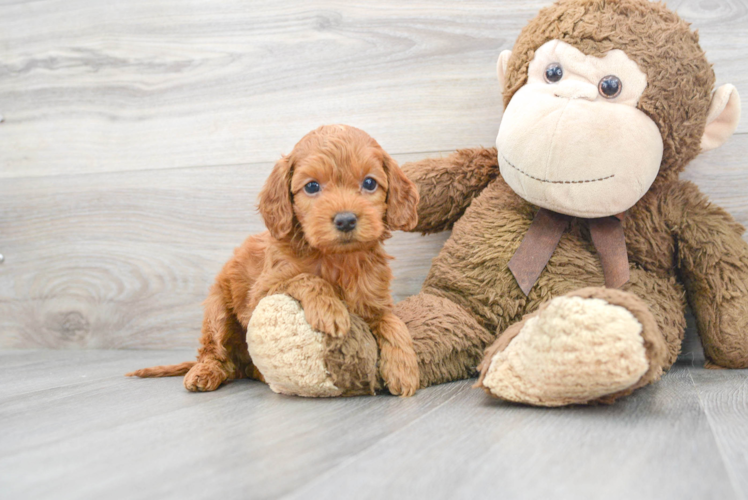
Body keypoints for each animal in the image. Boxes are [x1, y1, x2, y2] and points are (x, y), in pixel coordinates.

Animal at [129, 124, 420, 394]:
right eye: (312, 186)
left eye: (369, 183)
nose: (346, 220)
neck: (337, 259)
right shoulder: (262, 291)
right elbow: (306, 277)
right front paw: (330, 309)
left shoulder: (374, 301)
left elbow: (392, 322)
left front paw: (404, 369)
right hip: (217, 309)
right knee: (214, 351)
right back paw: (205, 372)